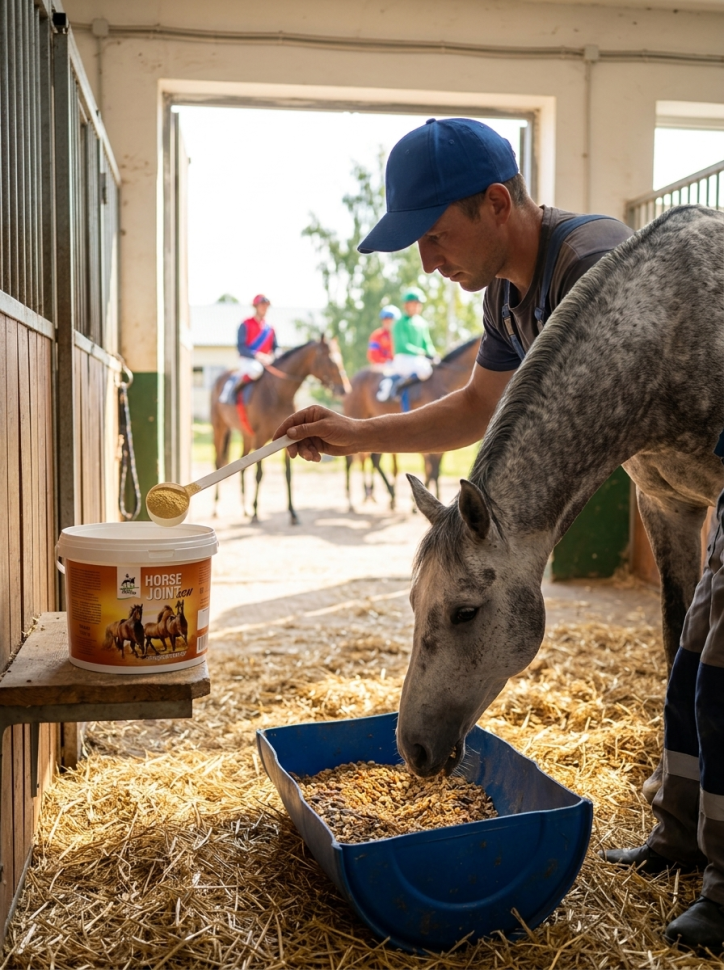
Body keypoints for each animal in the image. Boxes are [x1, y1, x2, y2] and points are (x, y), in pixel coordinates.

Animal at [211, 337, 350, 524]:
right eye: (330, 360)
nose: (344, 389)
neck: (278, 393)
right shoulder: (260, 438)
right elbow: (259, 473)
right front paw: (256, 512)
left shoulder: (284, 438)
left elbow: (288, 474)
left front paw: (292, 512)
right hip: (219, 428)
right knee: (218, 462)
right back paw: (218, 508)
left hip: (246, 436)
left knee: (242, 464)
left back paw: (244, 509)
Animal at [343, 337, 480, 511]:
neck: (444, 380)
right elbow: (431, 469)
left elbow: (435, 470)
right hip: (356, 416)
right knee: (350, 461)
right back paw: (352, 500)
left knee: (374, 459)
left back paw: (389, 496)